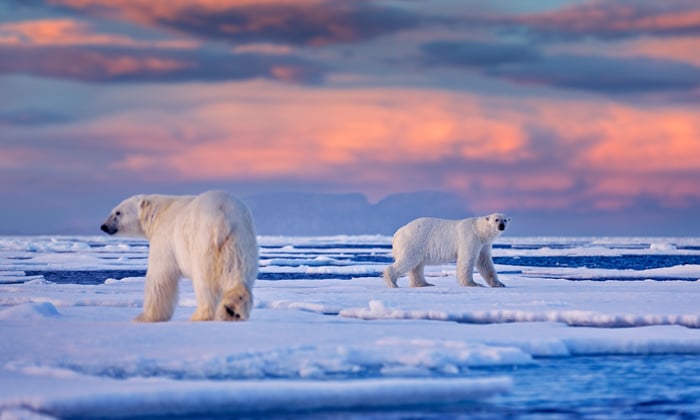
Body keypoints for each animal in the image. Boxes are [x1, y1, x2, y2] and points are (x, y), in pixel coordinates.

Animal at [100, 191, 258, 322]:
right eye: (113, 211)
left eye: (118, 212)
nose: (104, 226)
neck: (157, 213)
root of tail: (223, 217)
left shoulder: (164, 238)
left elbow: (160, 277)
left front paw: (145, 317)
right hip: (239, 240)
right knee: (236, 273)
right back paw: (231, 310)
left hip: (203, 242)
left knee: (204, 282)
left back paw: (199, 315)